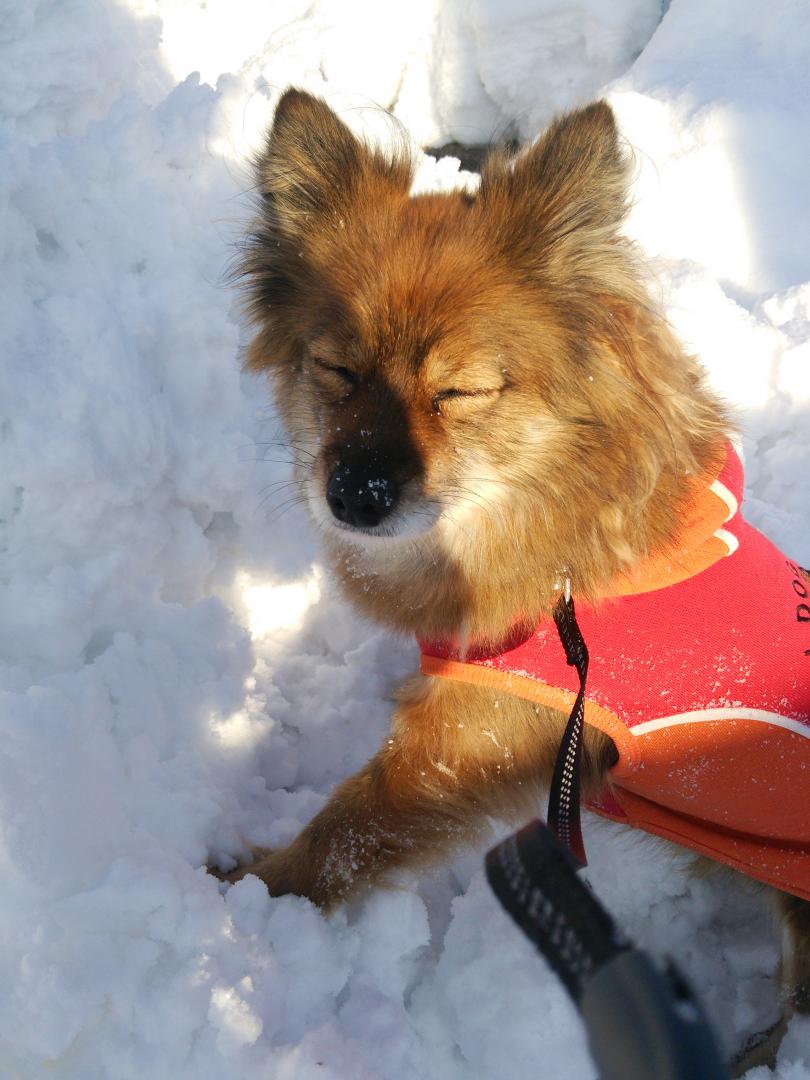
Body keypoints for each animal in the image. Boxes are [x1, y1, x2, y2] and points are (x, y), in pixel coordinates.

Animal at [225, 86, 810, 1071]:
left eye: (458, 392)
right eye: (337, 371)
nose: (356, 493)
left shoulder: (463, 742)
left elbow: (345, 831)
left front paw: (245, 895)